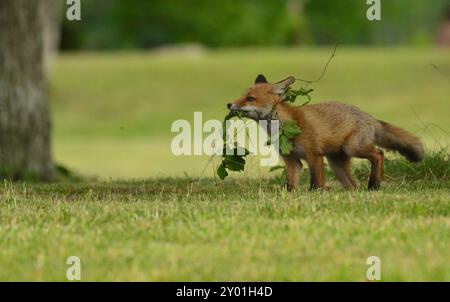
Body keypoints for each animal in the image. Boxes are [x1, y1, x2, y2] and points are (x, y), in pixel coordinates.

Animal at [227, 73, 424, 191]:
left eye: (250, 98)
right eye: (242, 95)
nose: (229, 104)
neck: (287, 126)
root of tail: (369, 117)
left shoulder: (314, 154)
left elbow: (316, 183)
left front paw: (316, 194)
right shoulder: (292, 161)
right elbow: (290, 185)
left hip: (353, 148)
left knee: (379, 153)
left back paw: (374, 184)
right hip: (337, 164)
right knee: (353, 185)